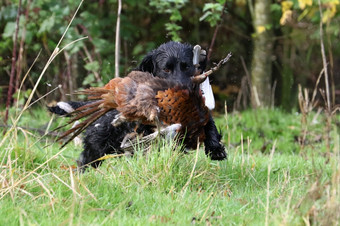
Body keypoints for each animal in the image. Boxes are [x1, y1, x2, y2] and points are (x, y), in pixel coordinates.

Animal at [49, 42, 226, 170]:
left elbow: (210, 126)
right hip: (96, 146)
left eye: (187, 66)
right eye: (166, 69)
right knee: (85, 160)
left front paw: (216, 149)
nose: (184, 90)